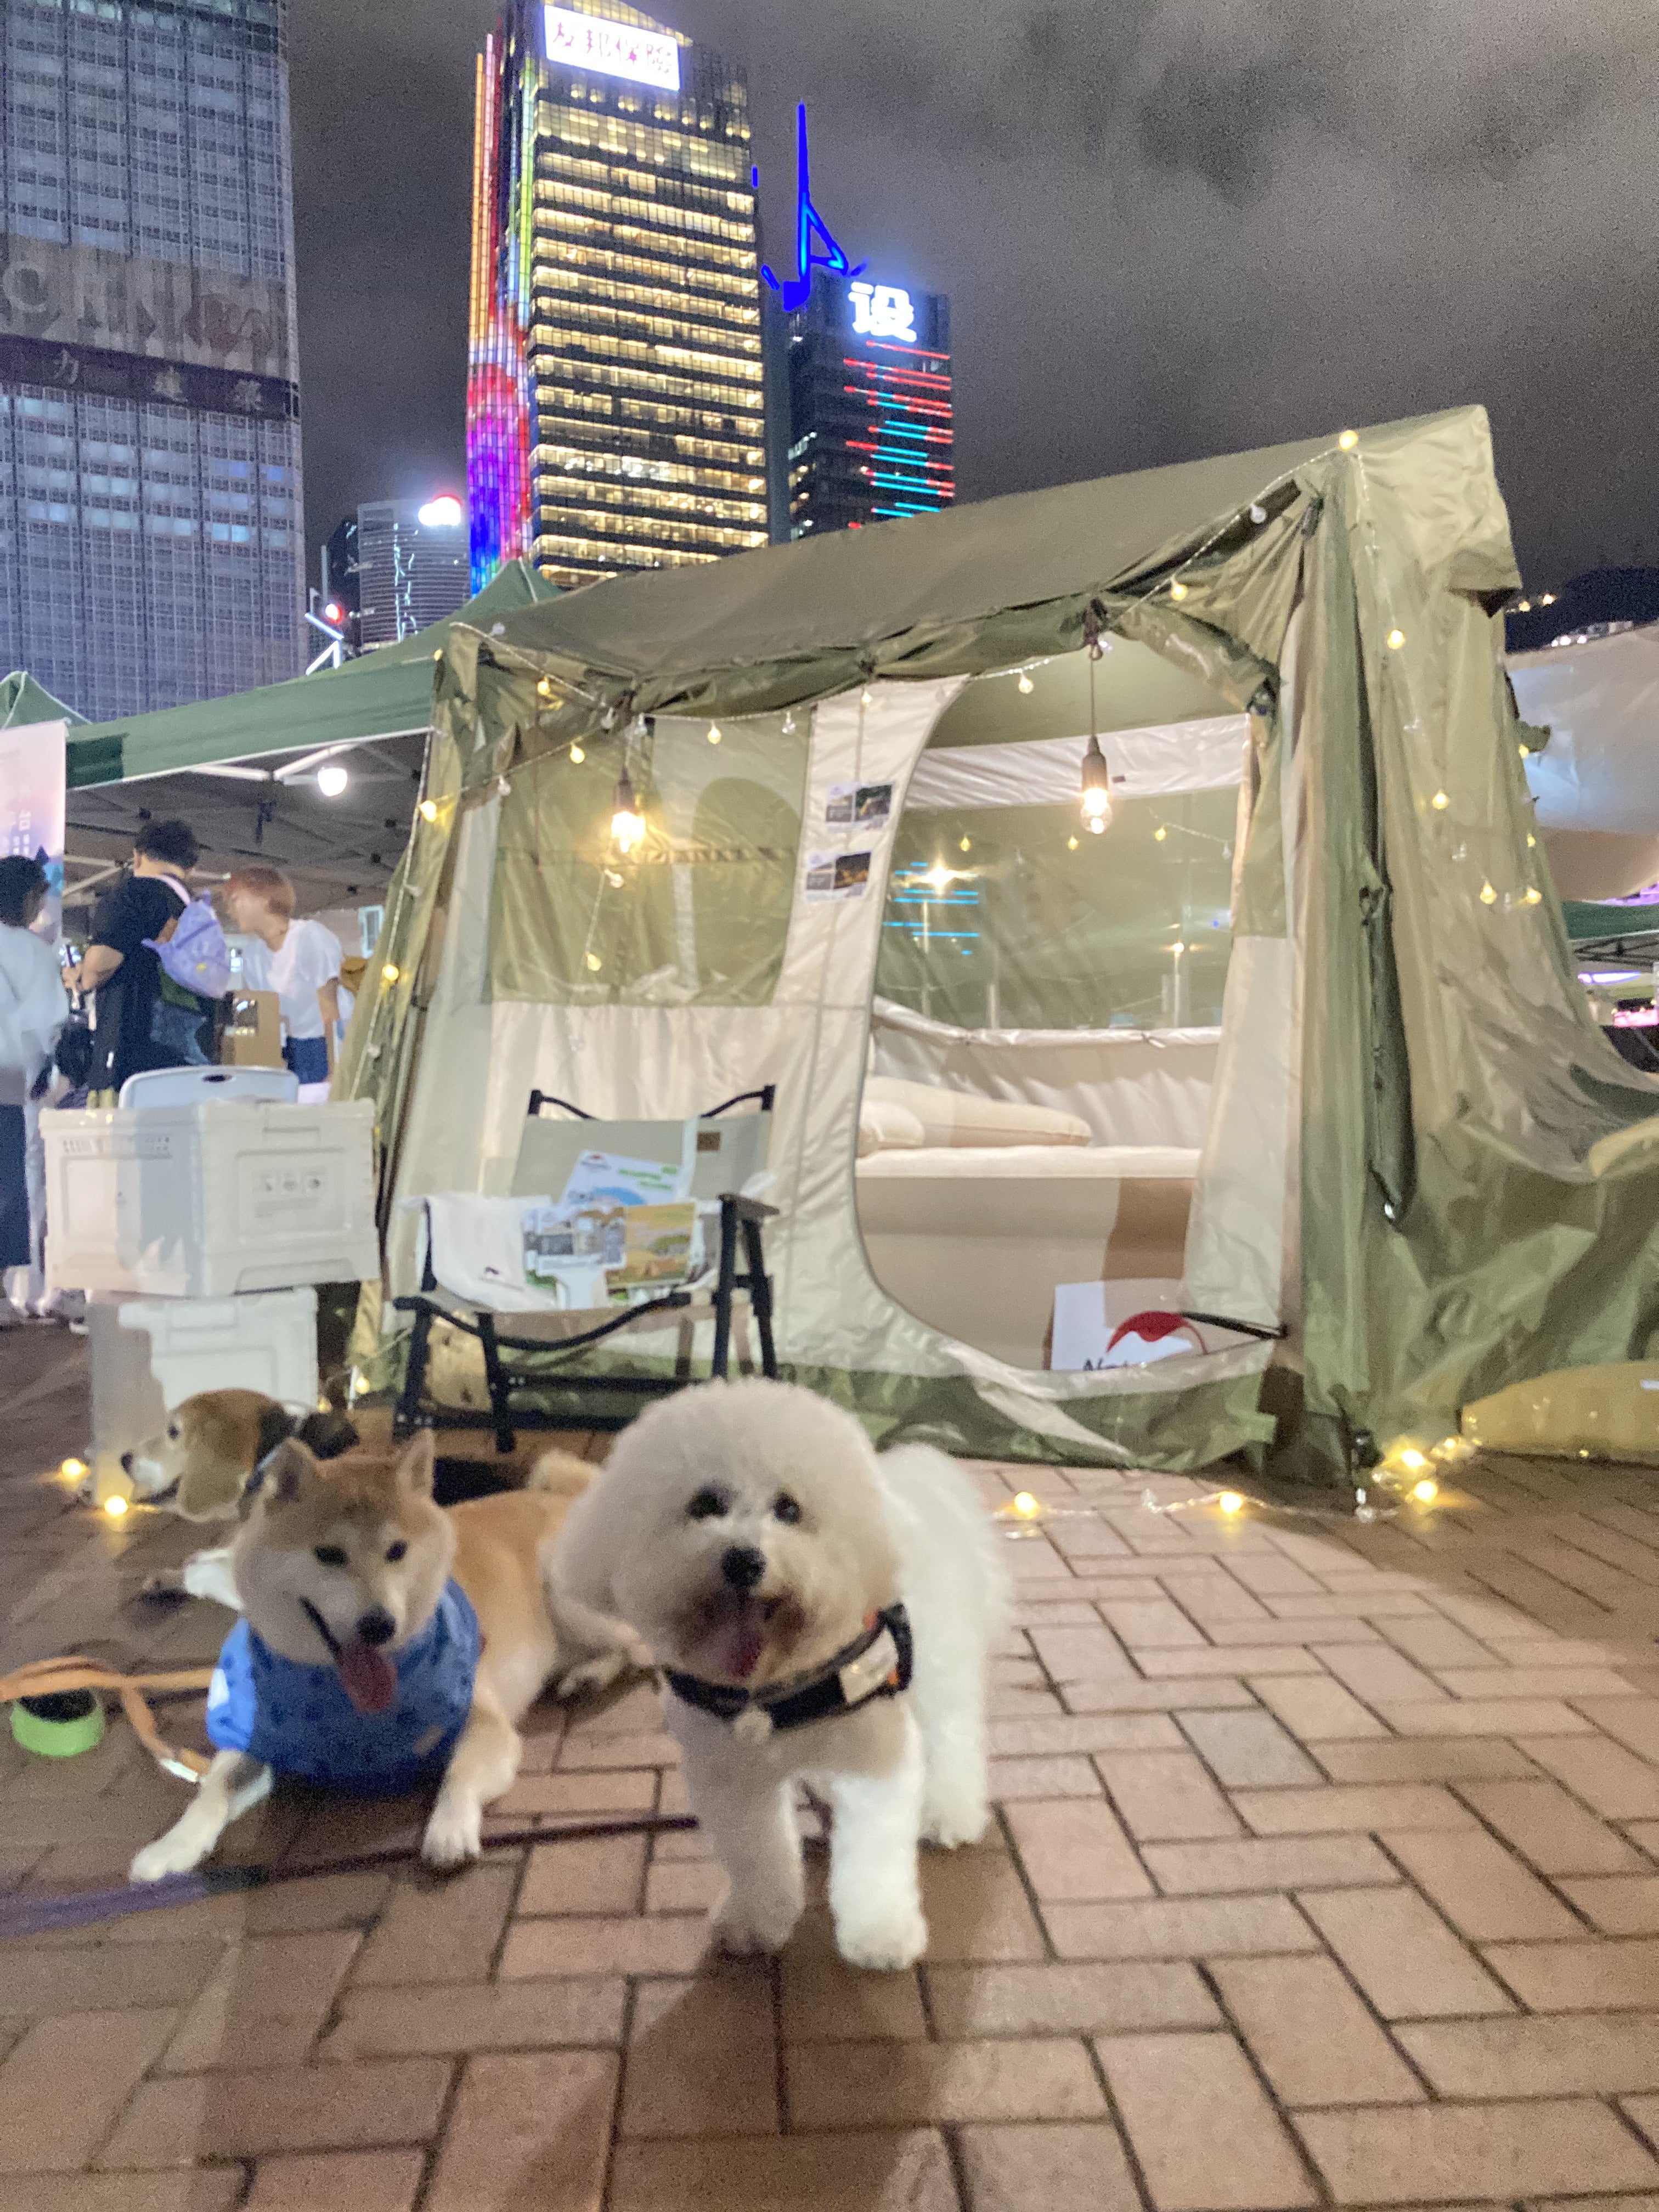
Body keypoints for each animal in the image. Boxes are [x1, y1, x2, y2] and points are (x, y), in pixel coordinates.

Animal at [131, 1433, 650, 1884]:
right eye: (328, 1554)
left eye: (397, 1550)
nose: (380, 1625)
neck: (346, 1701)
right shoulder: (260, 1744)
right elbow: (211, 1791)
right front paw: (170, 1848)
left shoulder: (484, 1724)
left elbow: (459, 1775)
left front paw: (448, 1830)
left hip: (569, 1596)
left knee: (642, 1648)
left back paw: (592, 1674)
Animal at [560, 1380, 1008, 1973]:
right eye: (705, 1505)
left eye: (789, 1509)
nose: (743, 1560)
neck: (772, 1691)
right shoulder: (730, 1778)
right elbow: (756, 1856)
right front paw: (754, 1921)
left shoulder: (875, 1765)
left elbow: (875, 1859)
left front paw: (881, 1934)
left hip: (940, 1670)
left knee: (955, 1739)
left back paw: (948, 1813)